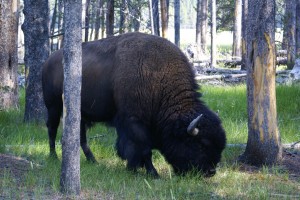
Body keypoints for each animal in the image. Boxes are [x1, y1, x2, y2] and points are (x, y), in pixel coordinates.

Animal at [41, 32, 225, 177]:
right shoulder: (134, 121)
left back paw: (93, 161)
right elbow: (143, 148)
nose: (211, 172)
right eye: (200, 144)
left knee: (80, 137)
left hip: (79, 113)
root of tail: (49, 60)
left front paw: (132, 168)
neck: (159, 79)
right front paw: (152, 173)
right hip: (53, 106)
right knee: (52, 128)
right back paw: (53, 157)